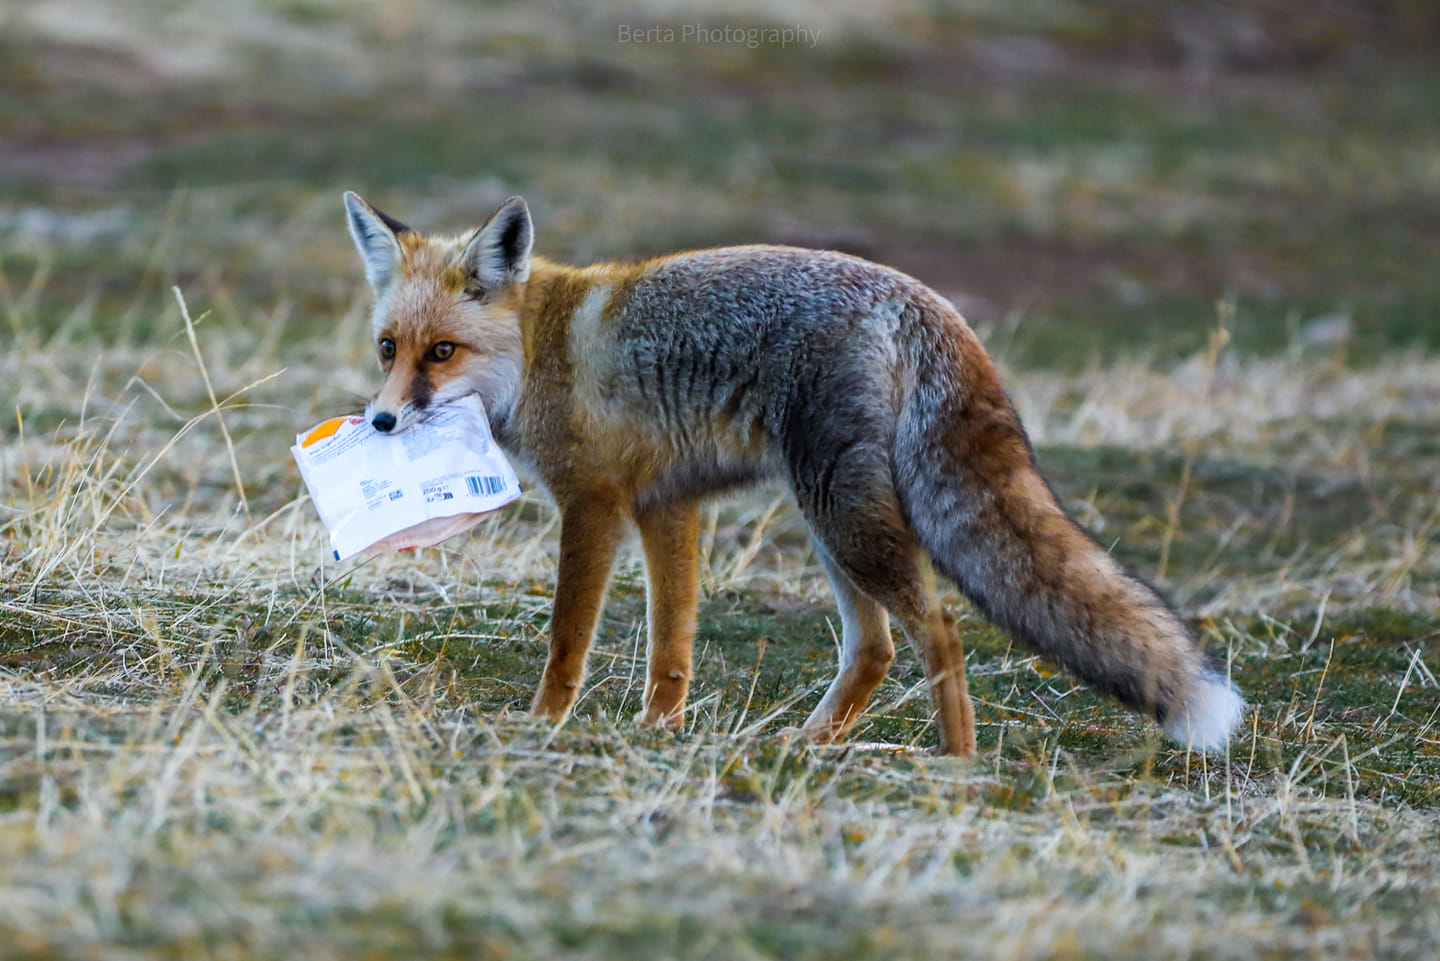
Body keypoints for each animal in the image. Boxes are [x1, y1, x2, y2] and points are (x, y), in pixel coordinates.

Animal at [342, 190, 1244, 760]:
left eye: (442, 352)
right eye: (389, 348)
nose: (381, 422)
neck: (539, 350)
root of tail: (929, 303)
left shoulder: (593, 502)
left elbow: (569, 636)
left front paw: (544, 724)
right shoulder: (667, 504)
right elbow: (672, 645)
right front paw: (657, 732)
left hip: (841, 514)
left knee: (941, 629)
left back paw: (953, 761)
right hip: (831, 523)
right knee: (876, 646)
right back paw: (811, 745)